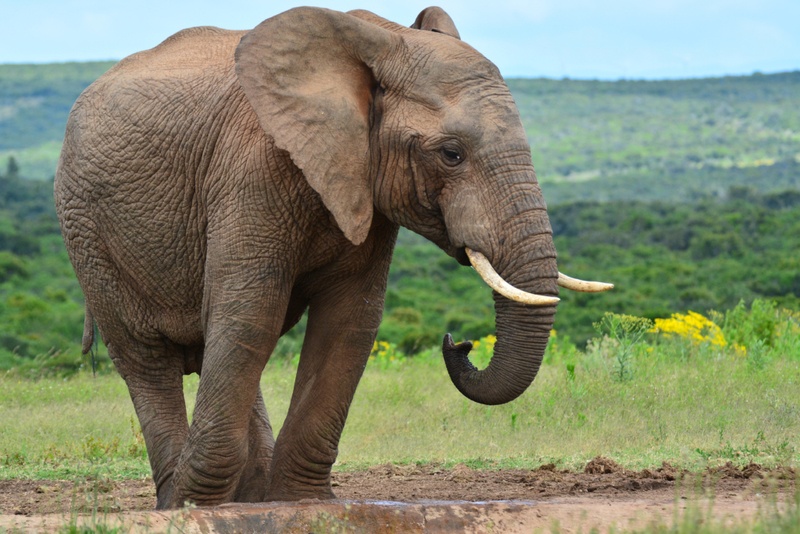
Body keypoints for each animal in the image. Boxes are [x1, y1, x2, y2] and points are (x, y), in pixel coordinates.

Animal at [53, 7, 612, 510]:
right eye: (451, 154)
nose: (459, 342)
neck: (378, 40)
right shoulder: (252, 169)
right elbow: (252, 313)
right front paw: (198, 507)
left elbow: (349, 322)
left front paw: (298, 502)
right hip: (86, 230)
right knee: (148, 356)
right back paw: (178, 500)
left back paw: (247, 495)